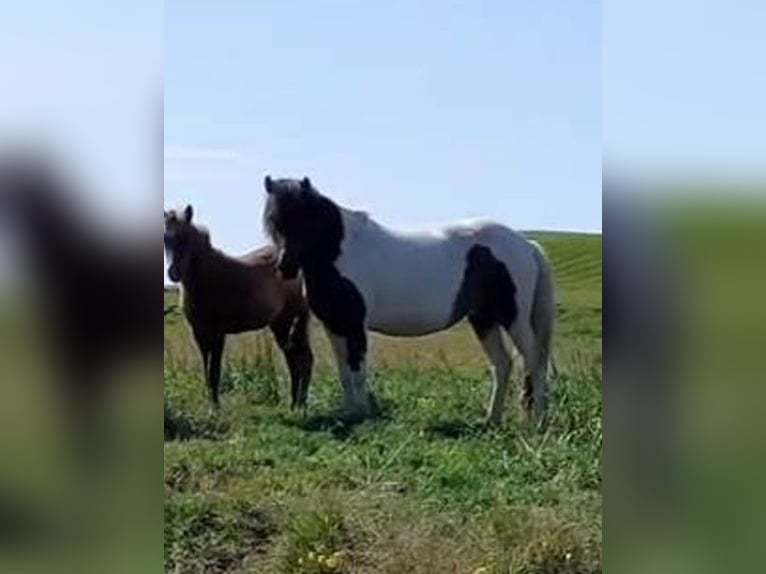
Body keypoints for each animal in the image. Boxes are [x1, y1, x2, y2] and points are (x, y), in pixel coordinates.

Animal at [164, 205, 313, 410]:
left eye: (185, 237)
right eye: (165, 239)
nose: (174, 273)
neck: (206, 277)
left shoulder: (218, 334)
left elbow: (214, 371)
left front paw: (215, 410)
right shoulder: (199, 333)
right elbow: (206, 370)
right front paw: (211, 408)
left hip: (292, 320)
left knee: (303, 359)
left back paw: (301, 406)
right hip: (283, 325)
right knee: (295, 360)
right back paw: (294, 404)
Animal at [262, 176, 555, 426]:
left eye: (306, 219)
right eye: (273, 220)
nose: (284, 267)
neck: (342, 252)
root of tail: (527, 245)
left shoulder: (355, 326)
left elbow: (358, 372)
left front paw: (361, 415)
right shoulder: (335, 326)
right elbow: (344, 373)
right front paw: (350, 414)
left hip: (513, 318)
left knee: (534, 362)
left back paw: (537, 422)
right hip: (483, 319)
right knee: (502, 365)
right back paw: (491, 420)